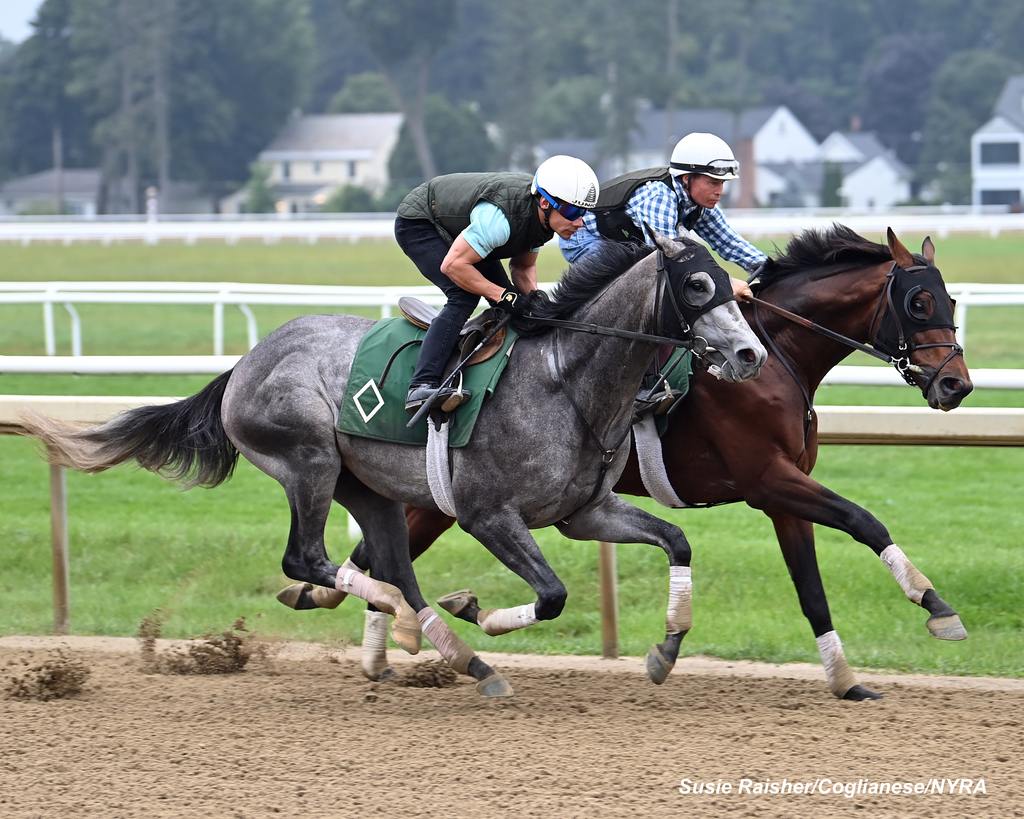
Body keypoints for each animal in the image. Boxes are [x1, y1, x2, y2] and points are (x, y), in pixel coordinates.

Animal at [22, 232, 770, 696]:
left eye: (729, 281)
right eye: (697, 283)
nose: (750, 354)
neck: (568, 380)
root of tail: (247, 362)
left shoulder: (586, 512)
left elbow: (677, 539)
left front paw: (664, 651)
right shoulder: (486, 515)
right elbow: (554, 594)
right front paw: (482, 610)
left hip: (370, 489)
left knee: (394, 569)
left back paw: (462, 655)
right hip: (310, 461)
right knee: (315, 560)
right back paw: (415, 623)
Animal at [292, 227, 970, 700]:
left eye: (951, 300)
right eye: (918, 301)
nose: (956, 385)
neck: (774, 359)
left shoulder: (783, 493)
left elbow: (812, 589)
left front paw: (846, 678)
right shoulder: (769, 479)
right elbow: (863, 521)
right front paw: (938, 608)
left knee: (377, 551)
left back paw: (376, 634)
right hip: (443, 500)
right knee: (382, 552)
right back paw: (381, 634)